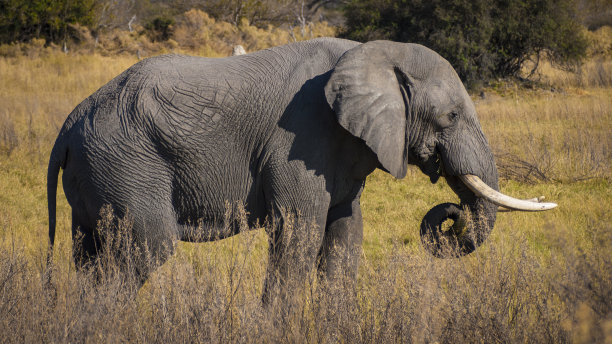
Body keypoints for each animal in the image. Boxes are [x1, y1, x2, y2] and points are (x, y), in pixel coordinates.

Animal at [46, 37, 556, 300]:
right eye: (450, 117)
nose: (449, 217)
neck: (373, 53)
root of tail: (67, 126)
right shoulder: (300, 139)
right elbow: (299, 233)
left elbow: (345, 234)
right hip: (126, 162)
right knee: (146, 248)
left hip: (98, 171)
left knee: (90, 255)